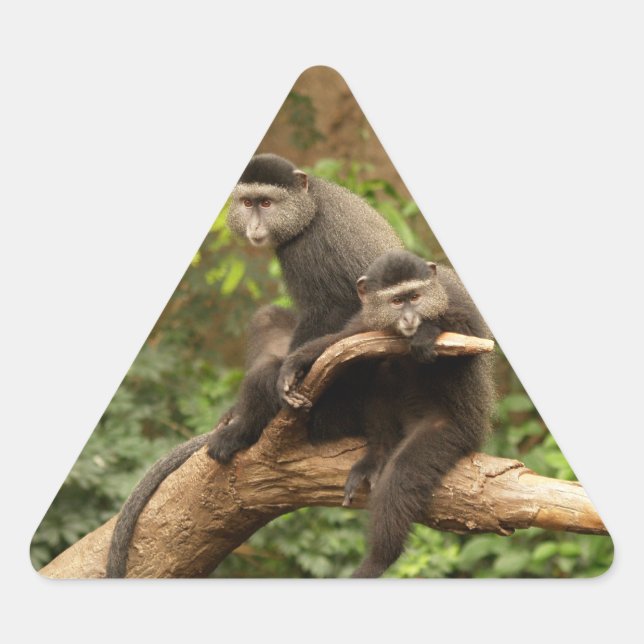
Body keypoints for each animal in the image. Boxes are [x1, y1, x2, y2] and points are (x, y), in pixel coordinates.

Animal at [277, 250, 495, 578]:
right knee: (379, 368)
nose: (409, 319)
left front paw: (427, 332)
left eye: (415, 297)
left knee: (402, 476)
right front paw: (297, 362)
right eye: (396, 302)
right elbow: (345, 339)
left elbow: (472, 340)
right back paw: (377, 456)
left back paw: (379, 559)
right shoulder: (367, 317)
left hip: (454, 431)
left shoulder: (457, 300)